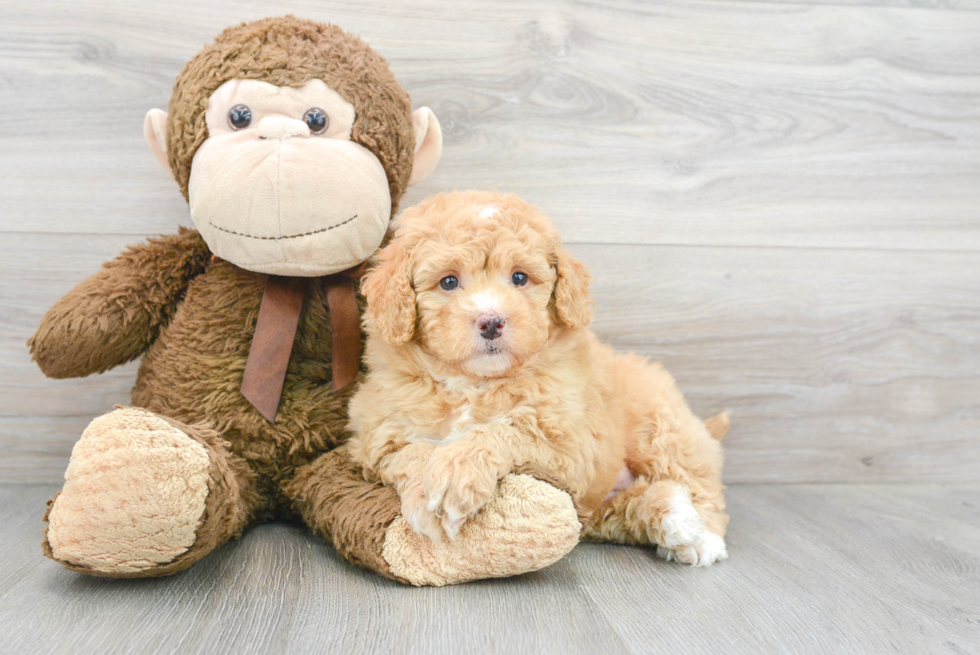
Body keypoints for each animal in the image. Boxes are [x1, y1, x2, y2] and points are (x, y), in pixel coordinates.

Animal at [348, 191, 732, 568]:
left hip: (660, 427)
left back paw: (702, 537)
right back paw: (673, 517)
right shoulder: (376, 441)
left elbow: (501, 431)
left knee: (695, 478)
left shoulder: (570, 444)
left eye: (519, 278)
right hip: (598, 509)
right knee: (635, 504)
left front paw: (455, 475)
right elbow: (412, 452)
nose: (491, 322)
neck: (473, 383)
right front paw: (426, 496)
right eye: (449, 282)